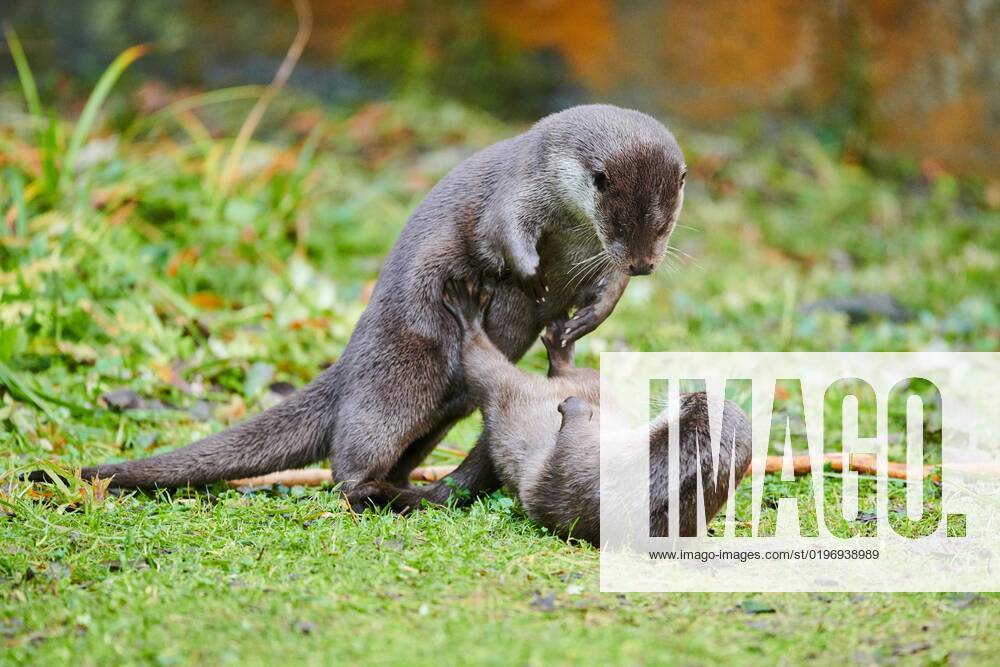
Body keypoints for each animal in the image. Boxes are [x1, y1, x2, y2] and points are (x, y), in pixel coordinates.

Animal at [43, 105, 686, 495]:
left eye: (662, 225)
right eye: (620, 222)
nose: (646, 263)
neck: (571, 225)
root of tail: (349, 360)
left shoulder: (599, 257)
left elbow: (607, 291)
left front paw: (579, 322)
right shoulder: (518, 190)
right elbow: (500, 233)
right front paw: (528, 277)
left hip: (433, 414)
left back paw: (407, 487)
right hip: (395, 375)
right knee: (346, 462)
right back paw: (381, 493)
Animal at [346, 279, 753, 545]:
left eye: (692, 402)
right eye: (700, 393)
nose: (686, 390)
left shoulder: (585, 481)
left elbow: (560, 459)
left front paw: (573, 410)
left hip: (504, 391)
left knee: (481, 361)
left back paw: (469, 312)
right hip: (593, 380)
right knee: (568, 370)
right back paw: (560, 339)